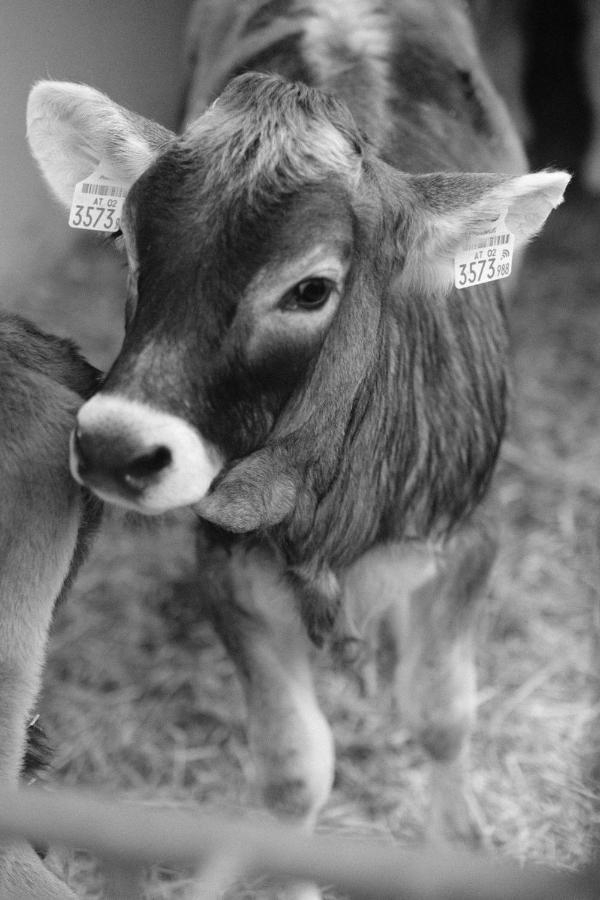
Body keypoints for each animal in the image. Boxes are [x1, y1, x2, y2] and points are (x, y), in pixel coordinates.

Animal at [27, 1, 568, 892]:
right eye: (129, 250)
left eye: (311, 289)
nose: (112, 446)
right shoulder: (227, 563)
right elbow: (292, 770)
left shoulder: (468, 536)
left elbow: (442, 714)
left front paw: (458, 837)